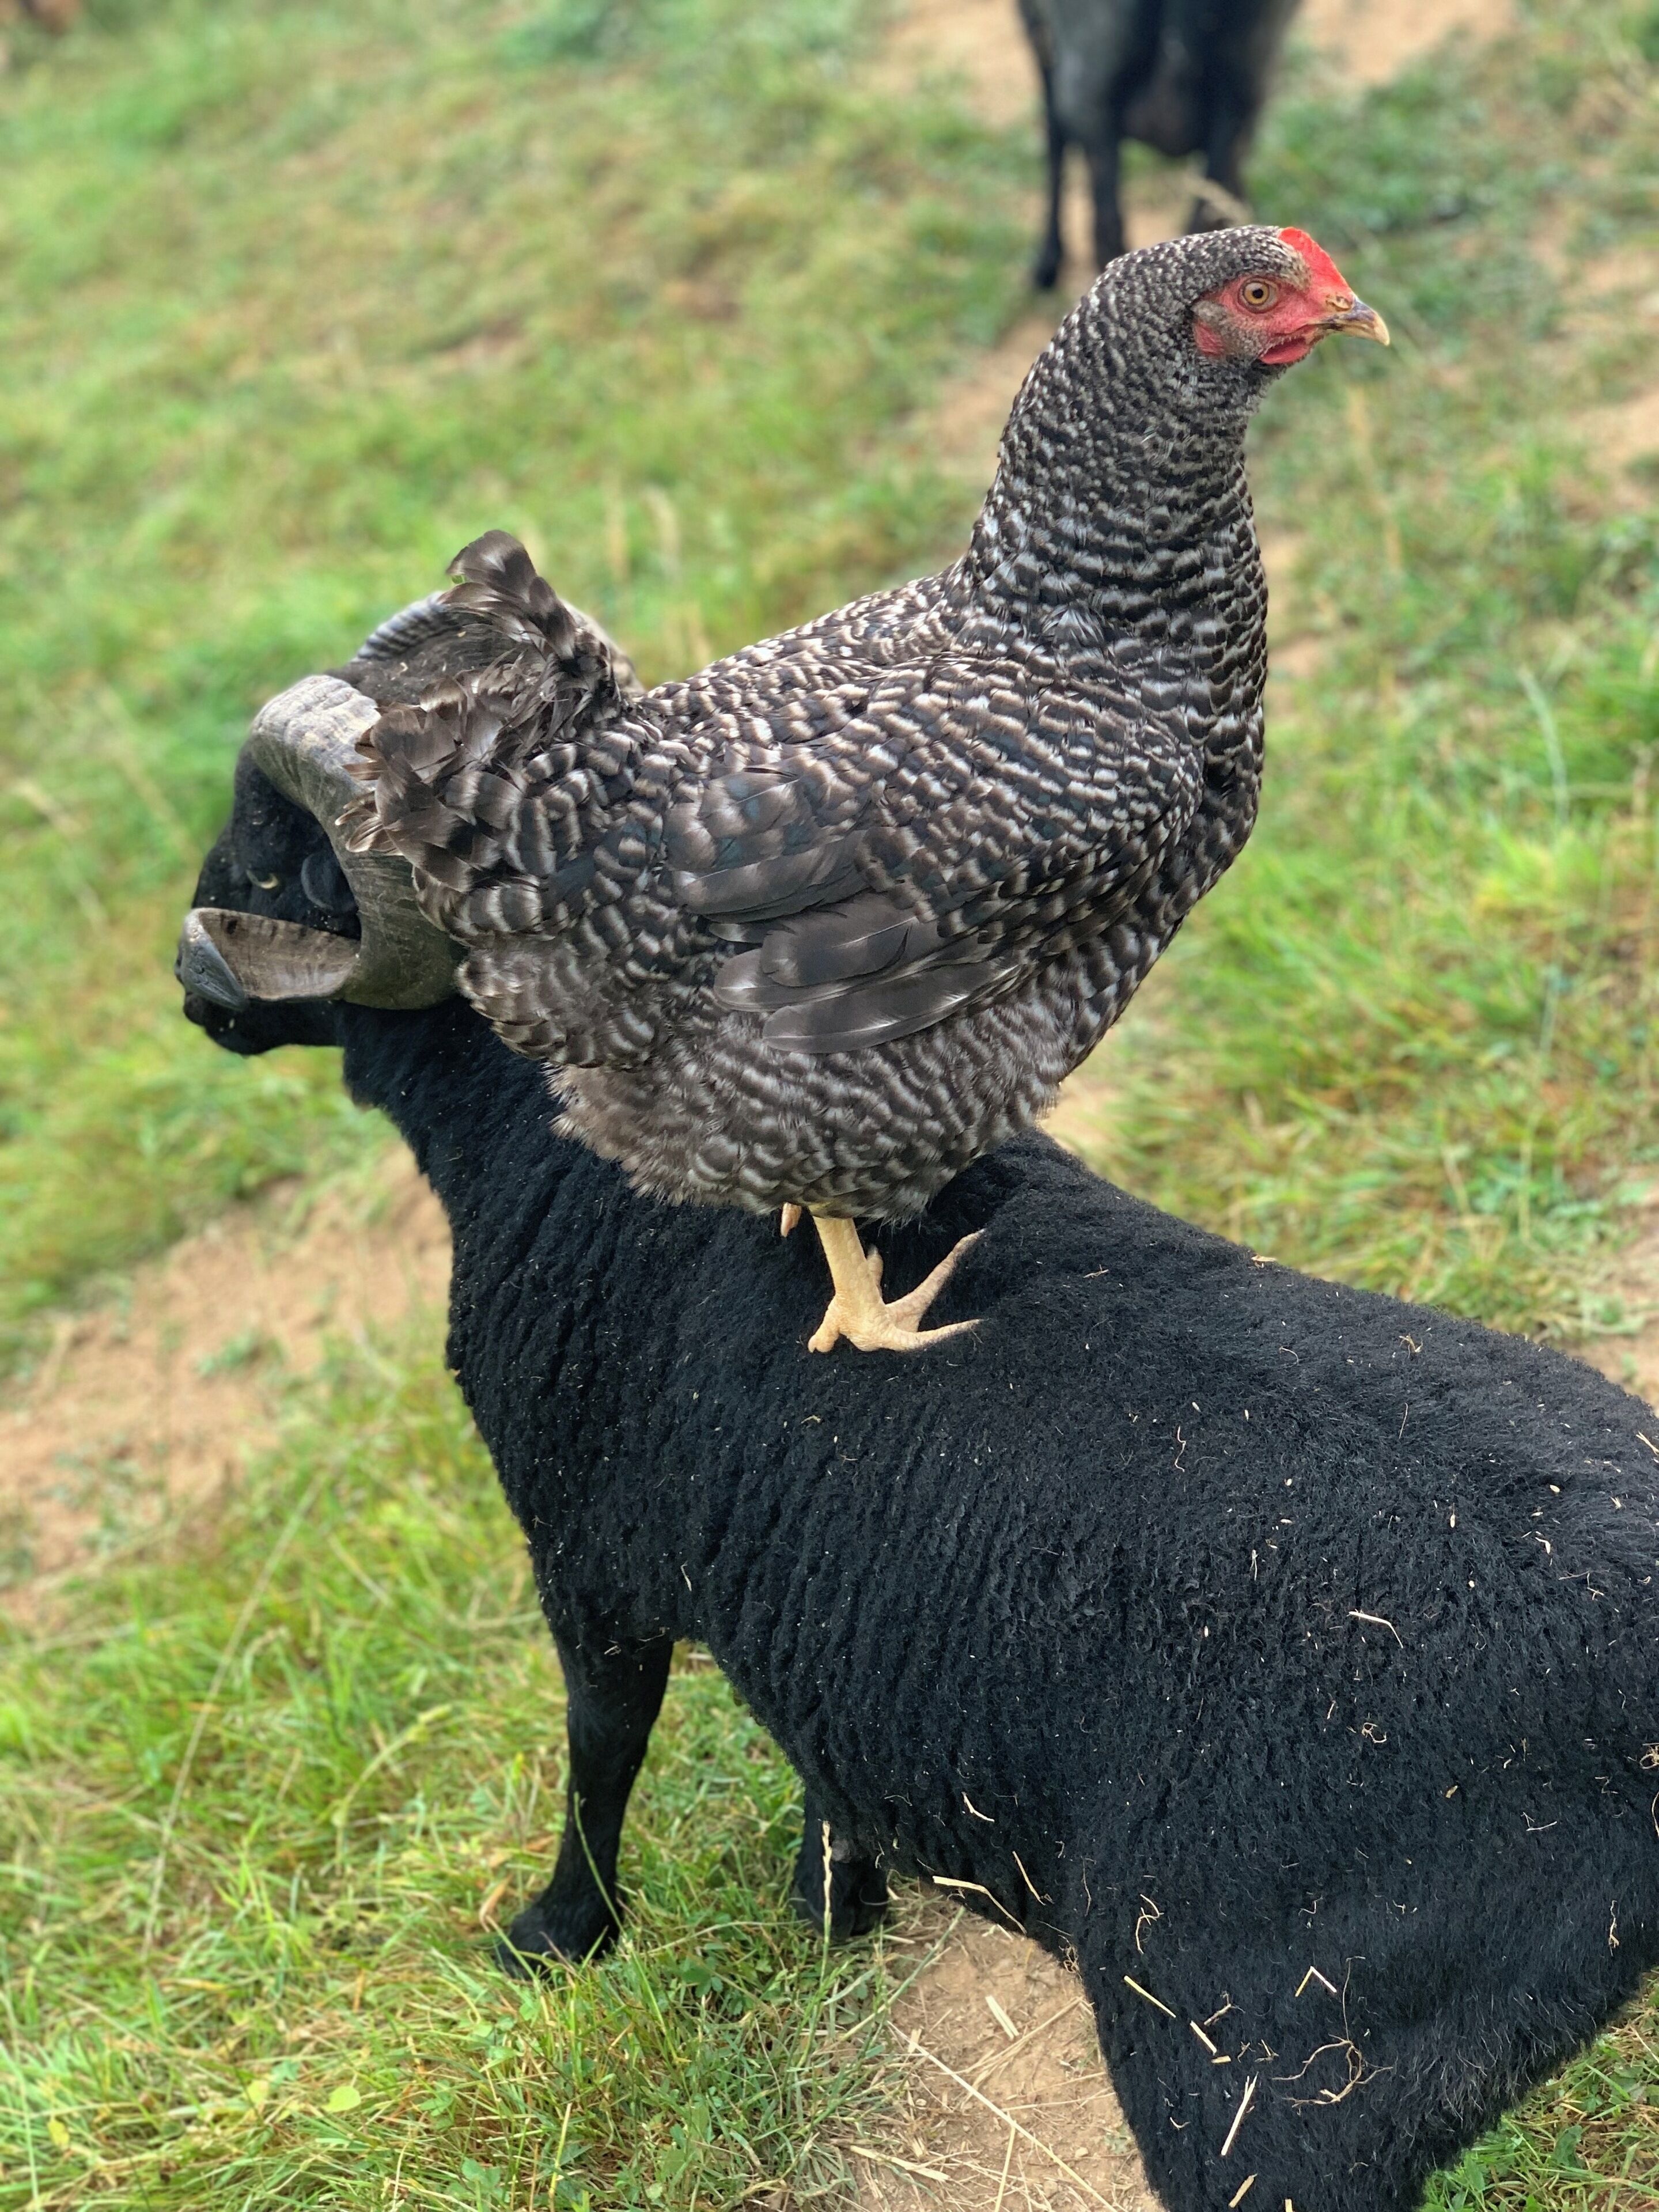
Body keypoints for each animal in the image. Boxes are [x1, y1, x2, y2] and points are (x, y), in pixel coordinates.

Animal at [178, 674, 1659, 2212]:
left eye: (280, 864)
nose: (192, 988)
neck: (523, 1137)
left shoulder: (582, 1543)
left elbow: (601, 1744)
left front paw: (558, 1936)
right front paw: (833, 1897)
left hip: (1273, 2076)